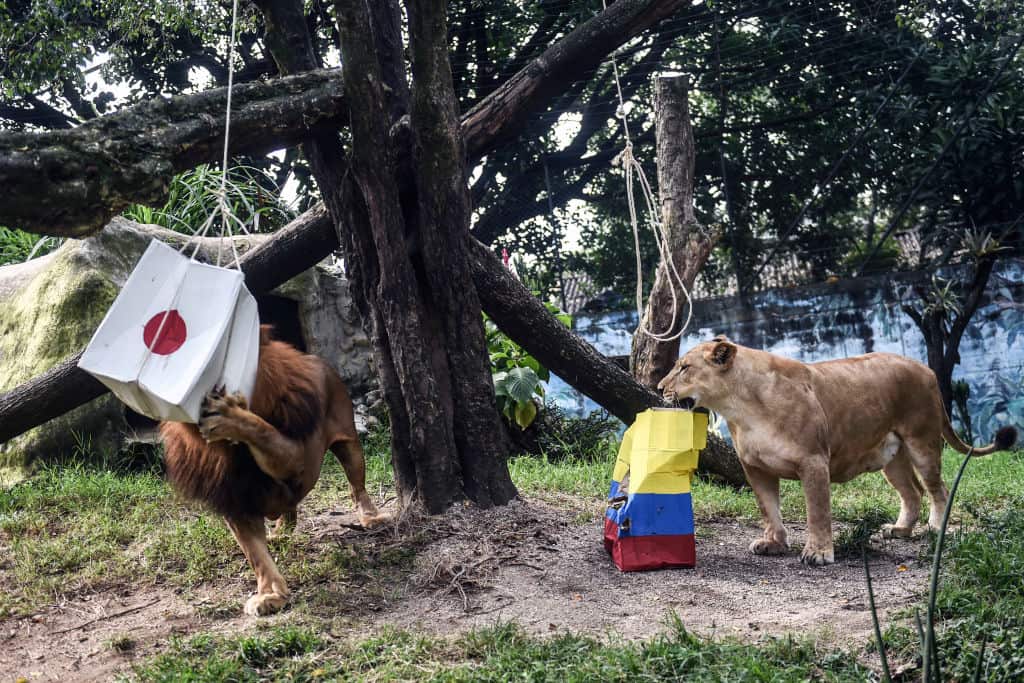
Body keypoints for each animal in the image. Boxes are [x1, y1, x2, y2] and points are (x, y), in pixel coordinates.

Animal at [160, 325, 386, 615]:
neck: (228, 450)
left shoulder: (297, 458)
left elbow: (263, 431)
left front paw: (230, 416)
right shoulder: (235, 497)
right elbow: (256, 556)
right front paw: (271, 595)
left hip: (349, 443)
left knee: (356, 485)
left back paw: (371, 517)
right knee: (290, 509)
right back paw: (280, 532)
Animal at [657, 336, 1017, 566]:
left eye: (684, 368)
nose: (660, 388)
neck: (740, 406)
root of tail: (925, 368)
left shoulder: (813, 461)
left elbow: (818, 511)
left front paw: (818, 553)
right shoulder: (755, 467)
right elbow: (768, 508)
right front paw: (774, 543)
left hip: (922, 441)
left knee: (937, 488)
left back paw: (935, 529)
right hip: (892, 457)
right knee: (912, 491)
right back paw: (900, 530)